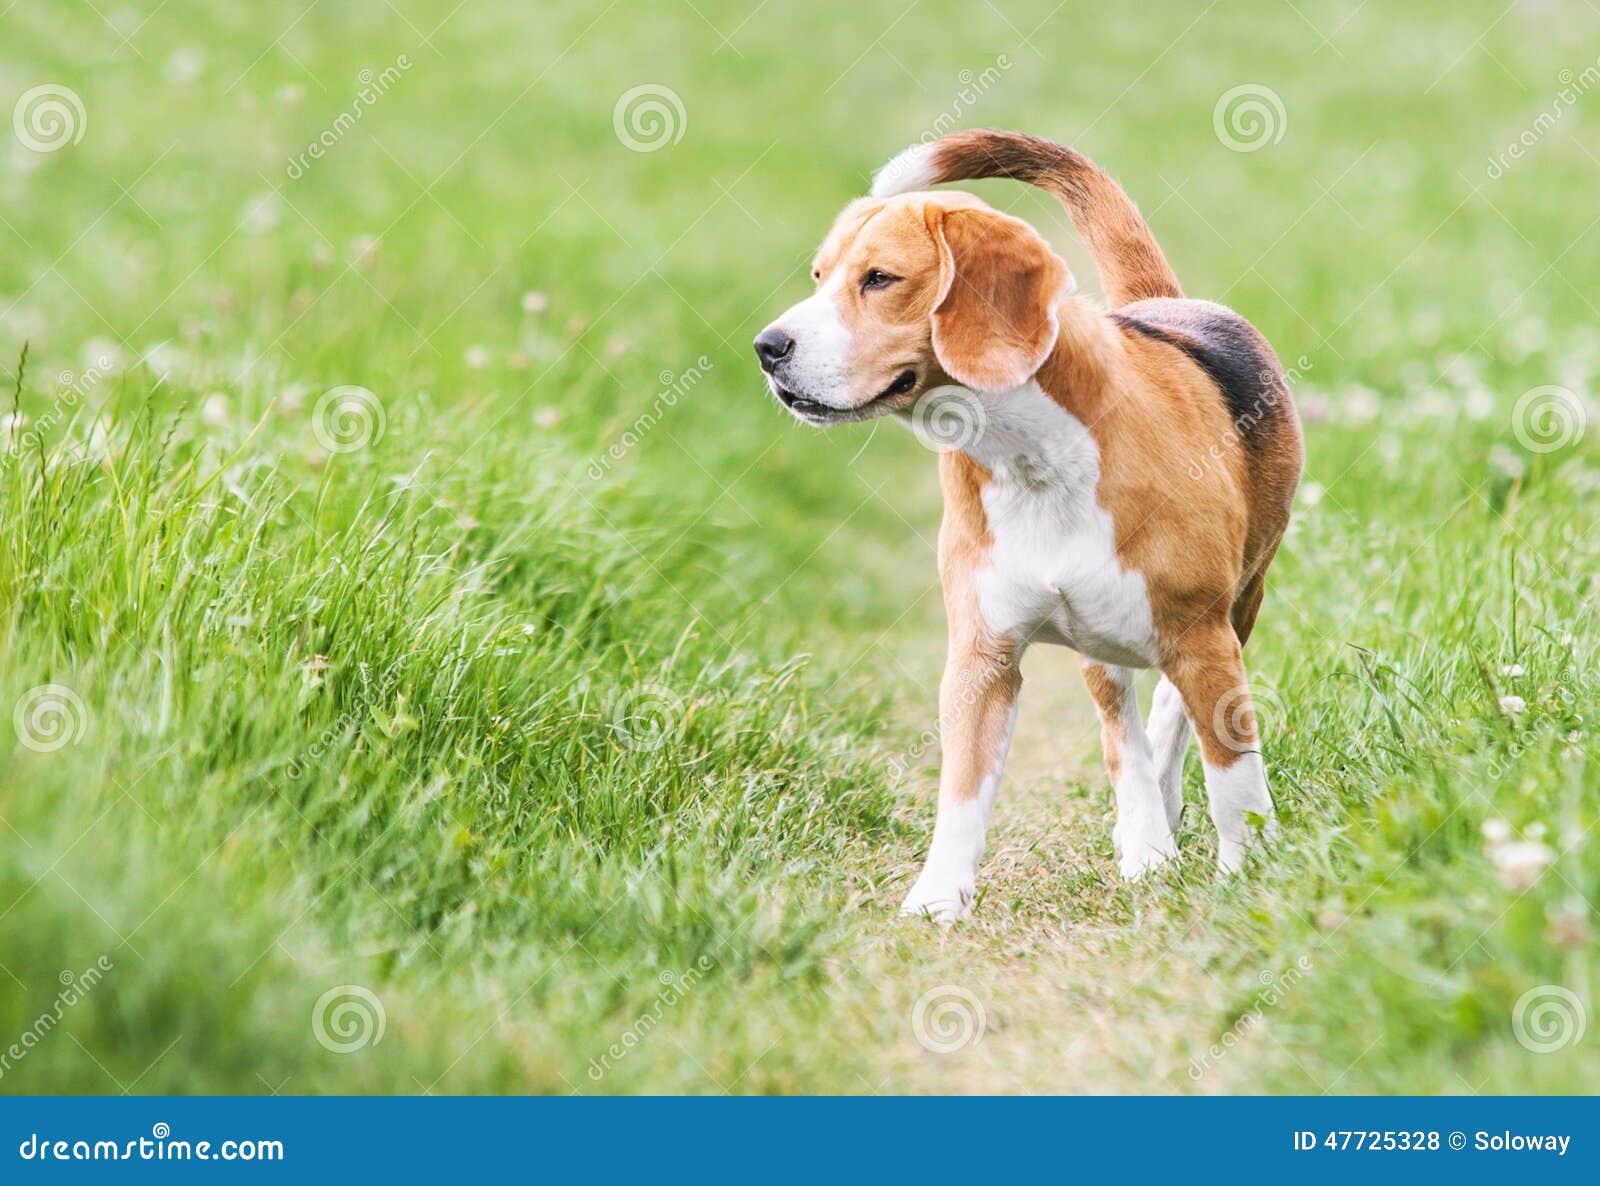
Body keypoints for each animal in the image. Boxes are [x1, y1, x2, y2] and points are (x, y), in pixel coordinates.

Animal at [748, 134, 1299, 921]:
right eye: (819, 277)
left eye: (880, 279)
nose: (768, 347)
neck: (1029, 456)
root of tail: (1161, 303)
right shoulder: (982, 658)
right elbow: (962, 794)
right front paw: (936, 900)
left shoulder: (1204, 638)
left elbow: (1232, 773)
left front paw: (1247, 872)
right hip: (1104, 643)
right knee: (1121, 728)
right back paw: (1146, 841)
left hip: (1239, 598)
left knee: (1169, 711)